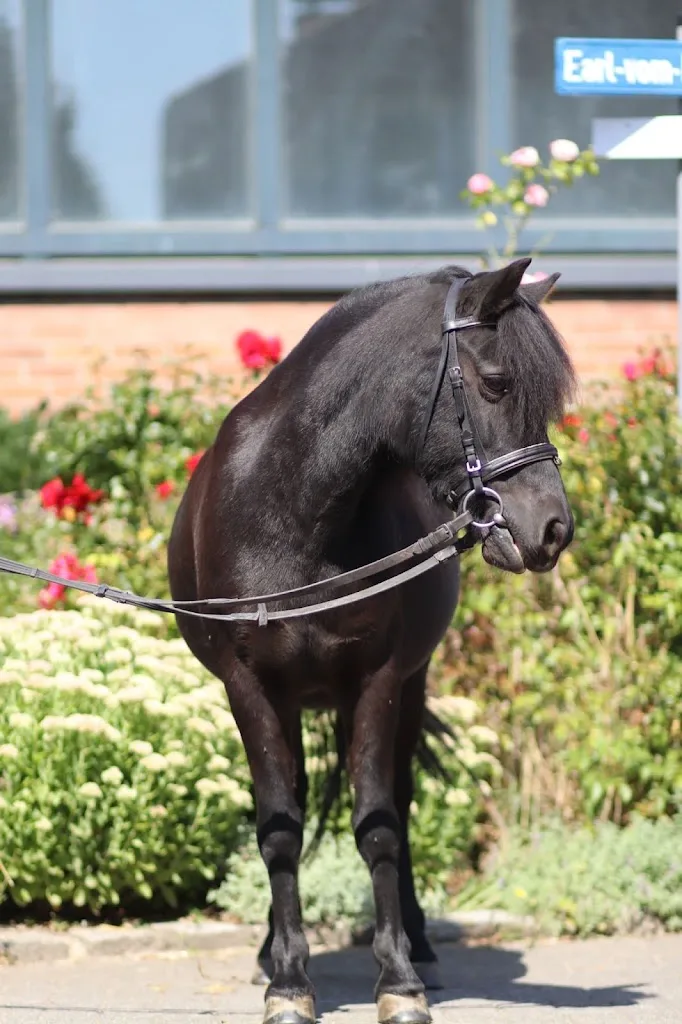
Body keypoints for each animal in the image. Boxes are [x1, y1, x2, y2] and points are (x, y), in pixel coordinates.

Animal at [167, 257, 577, 1024]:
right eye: (496, 383)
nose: (554, 530)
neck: (298, 512)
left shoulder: (382, 682)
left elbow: (380, 823)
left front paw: (399, 979)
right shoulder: (249, 688)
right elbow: (278, 826)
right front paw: (287, 981)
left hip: (411, 689)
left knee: (404, 800)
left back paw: (418, 946)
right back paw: (272, 947)